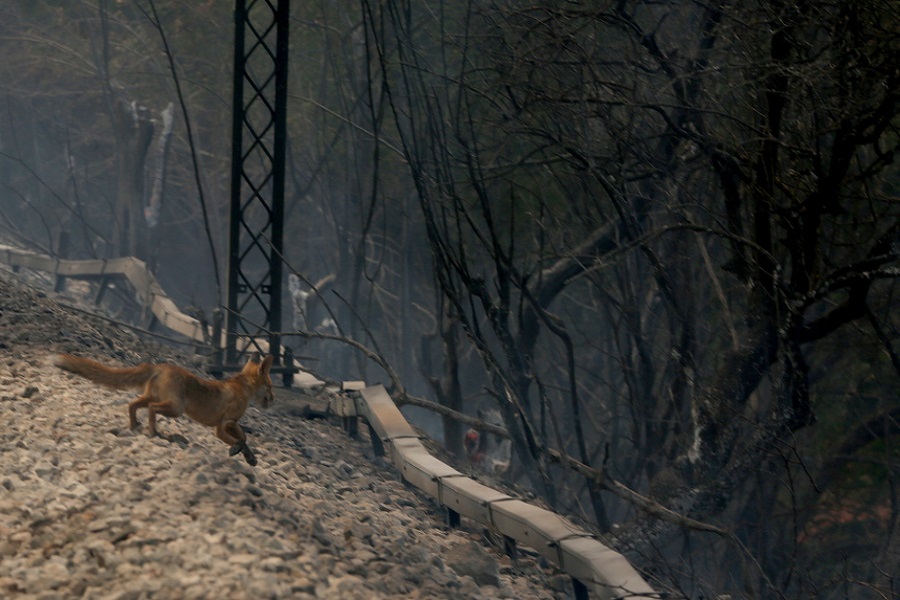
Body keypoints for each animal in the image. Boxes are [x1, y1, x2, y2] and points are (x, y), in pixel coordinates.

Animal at [51, 354, 270, 466]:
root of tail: (160, 366)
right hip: (175, 408)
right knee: (151, 409)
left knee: (133, 405)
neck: (242, 388)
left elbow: (242, 441)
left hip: (155, 398)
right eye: (271, 386)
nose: (273, 400)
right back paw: (154, 432)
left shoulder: (223, 427)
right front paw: (238, 451)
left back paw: (135, 426)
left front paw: (249, 457)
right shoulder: (226, 423)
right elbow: (242, 439)